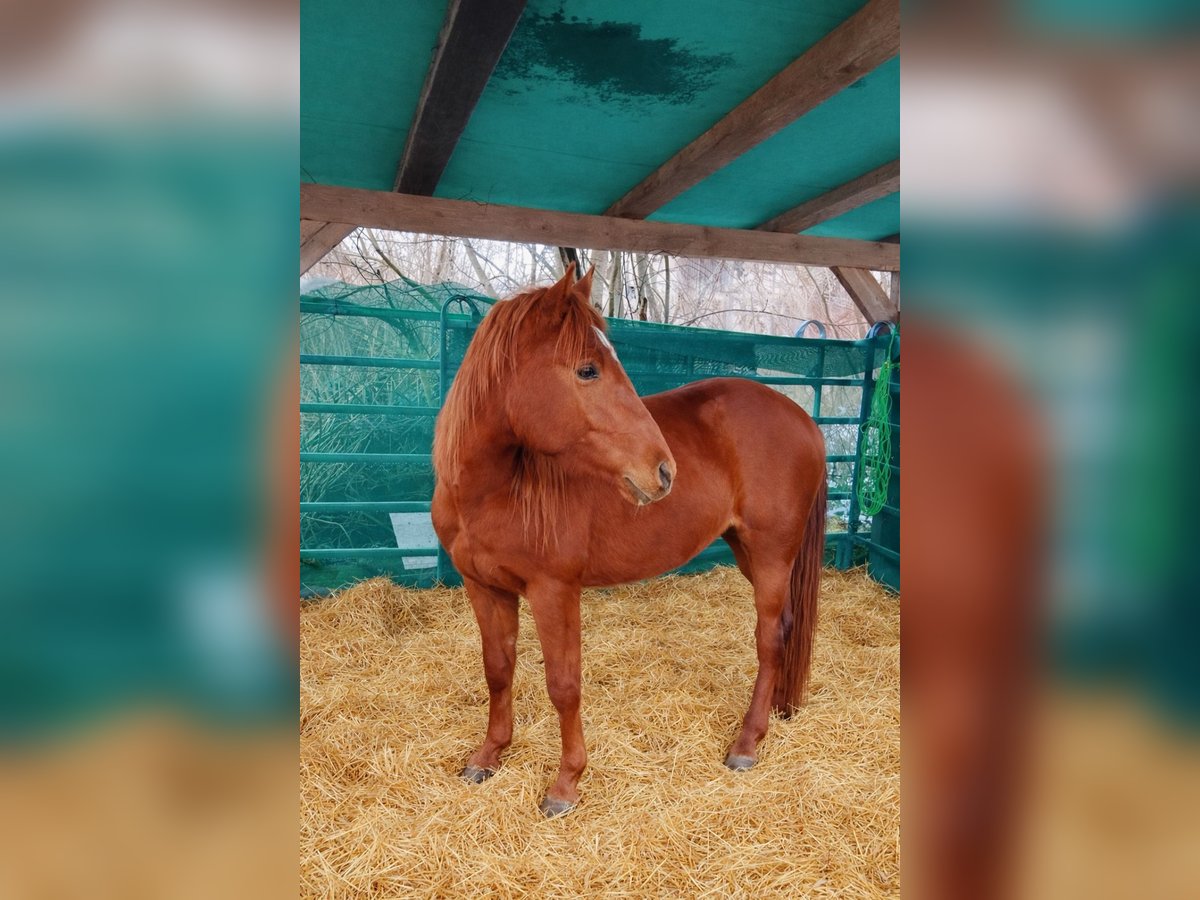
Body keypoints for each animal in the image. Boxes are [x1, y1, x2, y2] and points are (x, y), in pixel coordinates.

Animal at [431, 264, 827, 817]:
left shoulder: (554, 591)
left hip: (772, 555)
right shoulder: (484, 587)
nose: (663, 470)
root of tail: (805, 420)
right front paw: (489, 756)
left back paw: (747, 743)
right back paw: (779, 711)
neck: (497, 489)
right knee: (788, 628)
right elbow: (498, 670)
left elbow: (563, 685)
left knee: (769, 639)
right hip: (750, 552)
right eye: (587, 370)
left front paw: (566, 783)